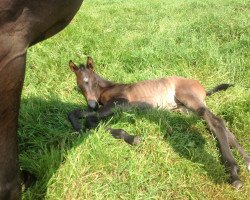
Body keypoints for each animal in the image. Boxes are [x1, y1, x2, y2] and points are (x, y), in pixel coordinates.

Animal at [68, 56, 250, 189]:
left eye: (92, 82)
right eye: (80, 85)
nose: (92, 104)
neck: (108, 87)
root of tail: (202, 87)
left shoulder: (121, 102)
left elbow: (91, 120)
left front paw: (131, 138)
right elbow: (75, 113)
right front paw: (78, 128)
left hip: (189, 98)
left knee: (216, 121)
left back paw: (234, 173)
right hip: (186, 109)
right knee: (220, 128)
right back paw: (246, 162)